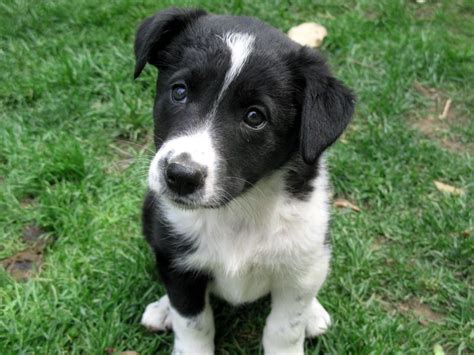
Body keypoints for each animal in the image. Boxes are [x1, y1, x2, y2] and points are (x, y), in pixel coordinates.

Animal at [133, 6, 352, 354]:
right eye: (179, 91)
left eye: (254, 117)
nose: (180, 176)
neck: (238, 207)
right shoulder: (179, 264)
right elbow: (192, 322)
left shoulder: (299, 271)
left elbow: (284, 328)